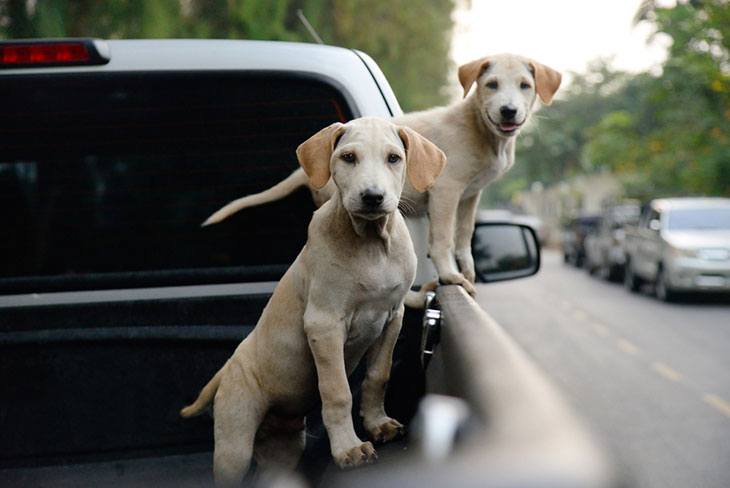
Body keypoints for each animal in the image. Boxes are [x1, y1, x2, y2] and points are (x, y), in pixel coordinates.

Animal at [181, 117, 444, 484]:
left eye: (394, 158)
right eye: (348, 157)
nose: (372, 197)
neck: (370, 244)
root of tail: (226, 370)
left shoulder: (392, 316)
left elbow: (378, 375)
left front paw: (378, 424)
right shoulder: (324, 324)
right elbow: (337, 391)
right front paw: (348, 448)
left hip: (283, 449)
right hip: (234, 444)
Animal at [202, 55, 560, 296]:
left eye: (525, 86)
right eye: (491, 85)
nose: (508, 111)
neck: (480, 129)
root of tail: (304, 169)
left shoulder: (471, 194)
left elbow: (464, 235)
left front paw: (469, 272)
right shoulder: (446, 190)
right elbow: (443, 239)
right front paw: (449, 275)